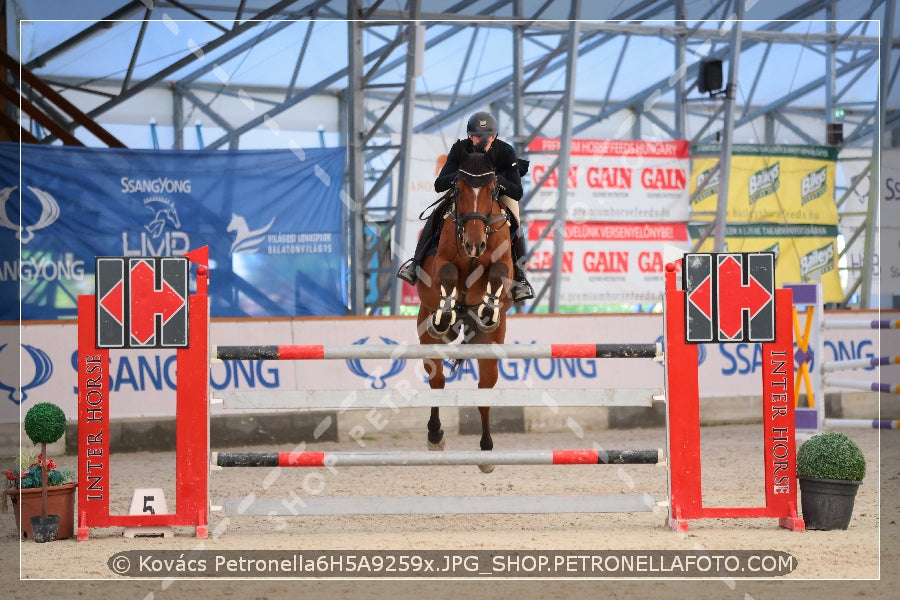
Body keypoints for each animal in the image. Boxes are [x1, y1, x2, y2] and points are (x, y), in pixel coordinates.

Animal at [414, 151, 512, 474]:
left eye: (493, 189)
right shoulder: (441, 265)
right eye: (458, 188)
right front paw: (445, 314)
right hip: (426, 337)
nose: (473, 244)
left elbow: (499, 271)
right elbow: (446, 273)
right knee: (437, 381)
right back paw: (435, 436)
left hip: (490, 347)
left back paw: (486, 450)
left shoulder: (504, 264)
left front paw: (489, 308)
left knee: (484, 391)